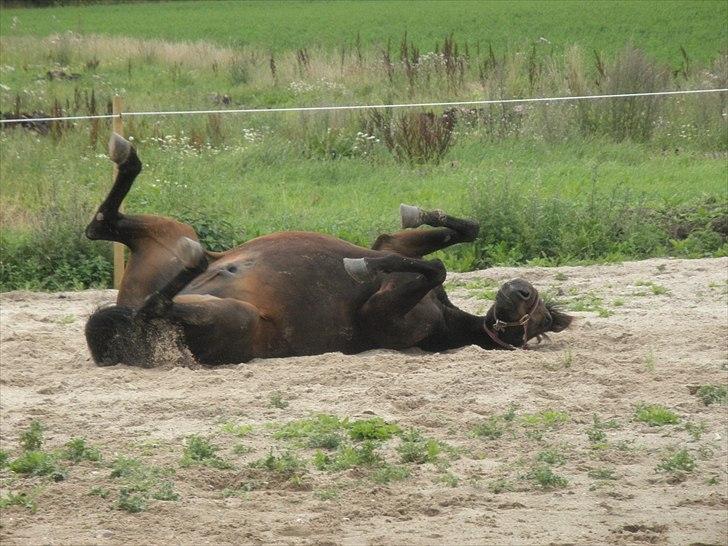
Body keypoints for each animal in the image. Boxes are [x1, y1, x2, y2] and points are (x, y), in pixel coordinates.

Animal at [85, 133, 572, 366]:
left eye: (541, 322)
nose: (522, 289)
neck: (448, 318)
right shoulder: (392, 243)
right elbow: (459, 234)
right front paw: (416, 215)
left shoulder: (381, 318)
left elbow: (433, 267)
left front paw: (361, 267)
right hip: (170, 237)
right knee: (100, 226)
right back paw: (126, 156)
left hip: (230, 317)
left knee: (149, 305)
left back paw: (190, 263)